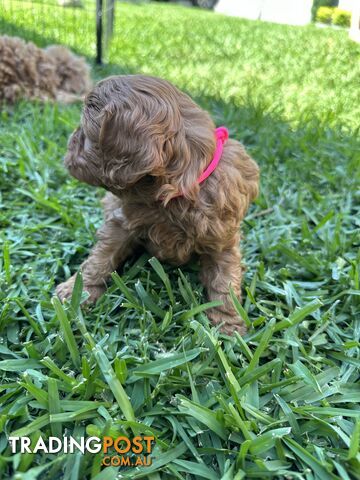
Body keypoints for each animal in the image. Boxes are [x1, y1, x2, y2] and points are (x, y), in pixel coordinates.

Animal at [55, 76, 258, 338]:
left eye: (85, 134)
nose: (69, 143)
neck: (174, 193)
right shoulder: (121, 220)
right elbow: (101, 257)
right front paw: (77, 291)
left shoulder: (222, 237)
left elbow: (224, 279)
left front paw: (229, 324)